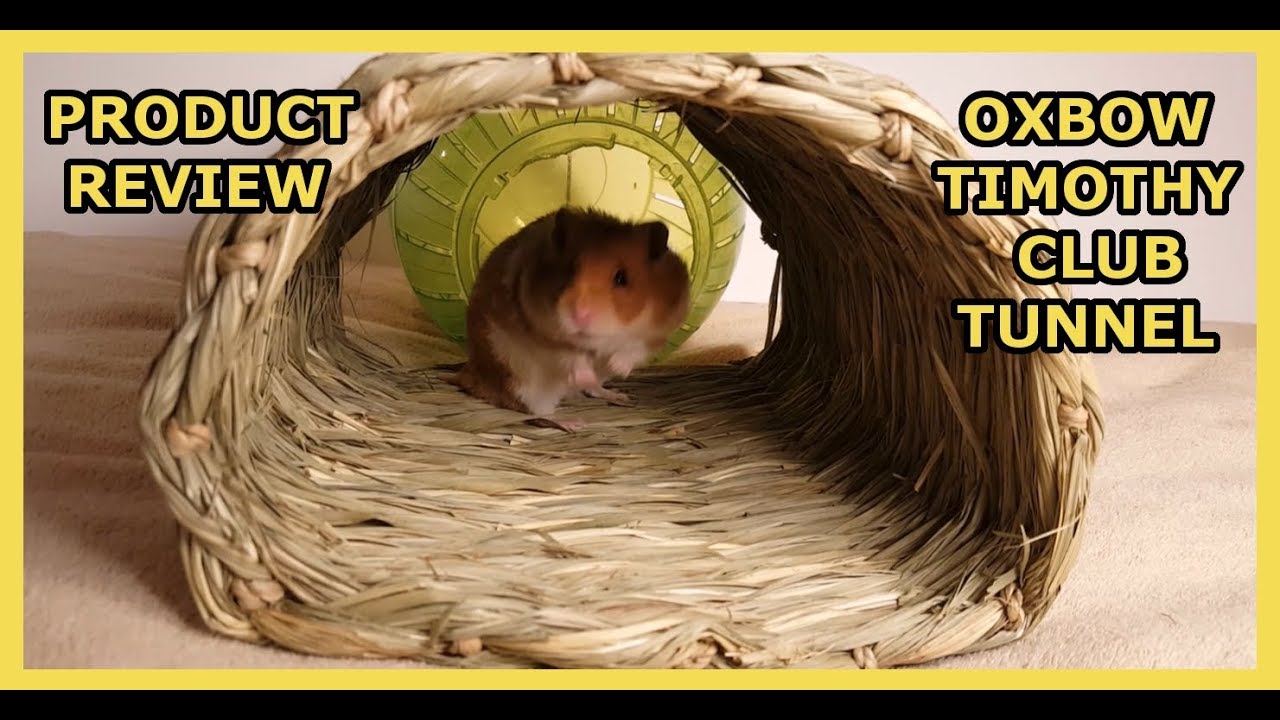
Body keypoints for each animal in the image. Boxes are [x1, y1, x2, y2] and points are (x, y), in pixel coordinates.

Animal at [446, 205, 691, 431]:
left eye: (622, 278)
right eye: (569, 270)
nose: (579, 315)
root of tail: (468, 374)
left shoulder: (658, 332)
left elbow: (633, 349)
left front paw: (616, 367)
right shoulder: (540, 331)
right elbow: (571, 355)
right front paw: (585, 374)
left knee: (593, 391)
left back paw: (619, 395)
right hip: (521, 382)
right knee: (536, 413)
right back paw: (575, 422)